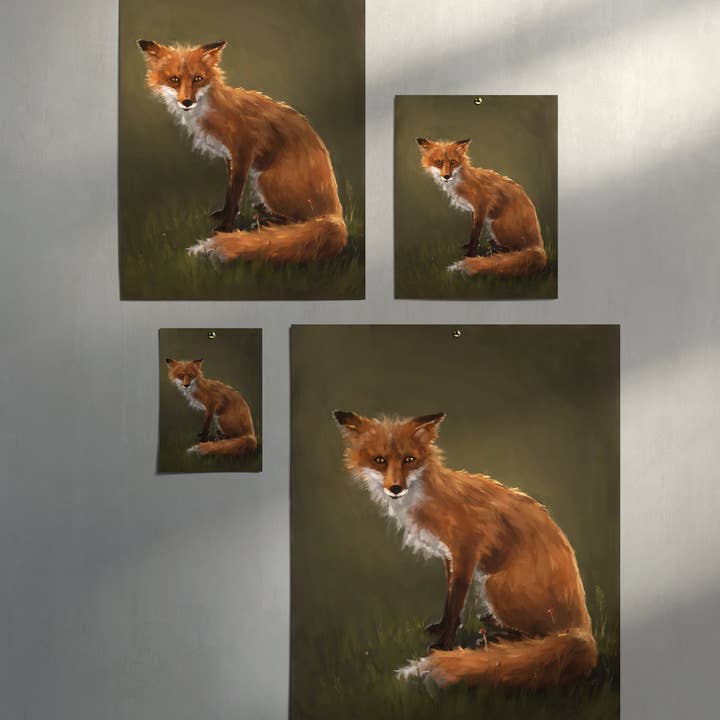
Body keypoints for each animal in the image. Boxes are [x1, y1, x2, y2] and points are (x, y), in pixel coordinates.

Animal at [137, 40, 347, 264]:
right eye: (174, 80)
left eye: (198, 79)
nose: (187, 102)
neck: (211, 109)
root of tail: (336, 212)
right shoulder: (230, 157)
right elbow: (230, 194)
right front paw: (223, 216)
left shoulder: (243, 151)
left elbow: (234, 194)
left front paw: (224, 228)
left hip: (264, 179)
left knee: (300, 221)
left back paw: (267, 221)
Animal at [333, 410, 597, 689]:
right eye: (380, 461)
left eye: (409, 460)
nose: (395, 488)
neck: (428, 497)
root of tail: (582, 625)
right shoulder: (449, 556)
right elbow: (449, 601)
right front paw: (442, 628)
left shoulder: (466, 552)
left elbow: (455, 603)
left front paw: (443, 645)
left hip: (493, 584)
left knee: (539, 636)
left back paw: (499, 638)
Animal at [416, 137, 547, 277]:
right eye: (439, 163)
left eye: (453, 162)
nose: (446, 176)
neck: (461, 181)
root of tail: (539, 245)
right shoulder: (474, 210)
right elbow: (473, 234)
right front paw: (469, 247)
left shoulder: (482, 205)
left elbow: (475, 235)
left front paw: (469, 255)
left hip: (495, 224)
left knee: (514, 251)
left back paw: (496, 251)